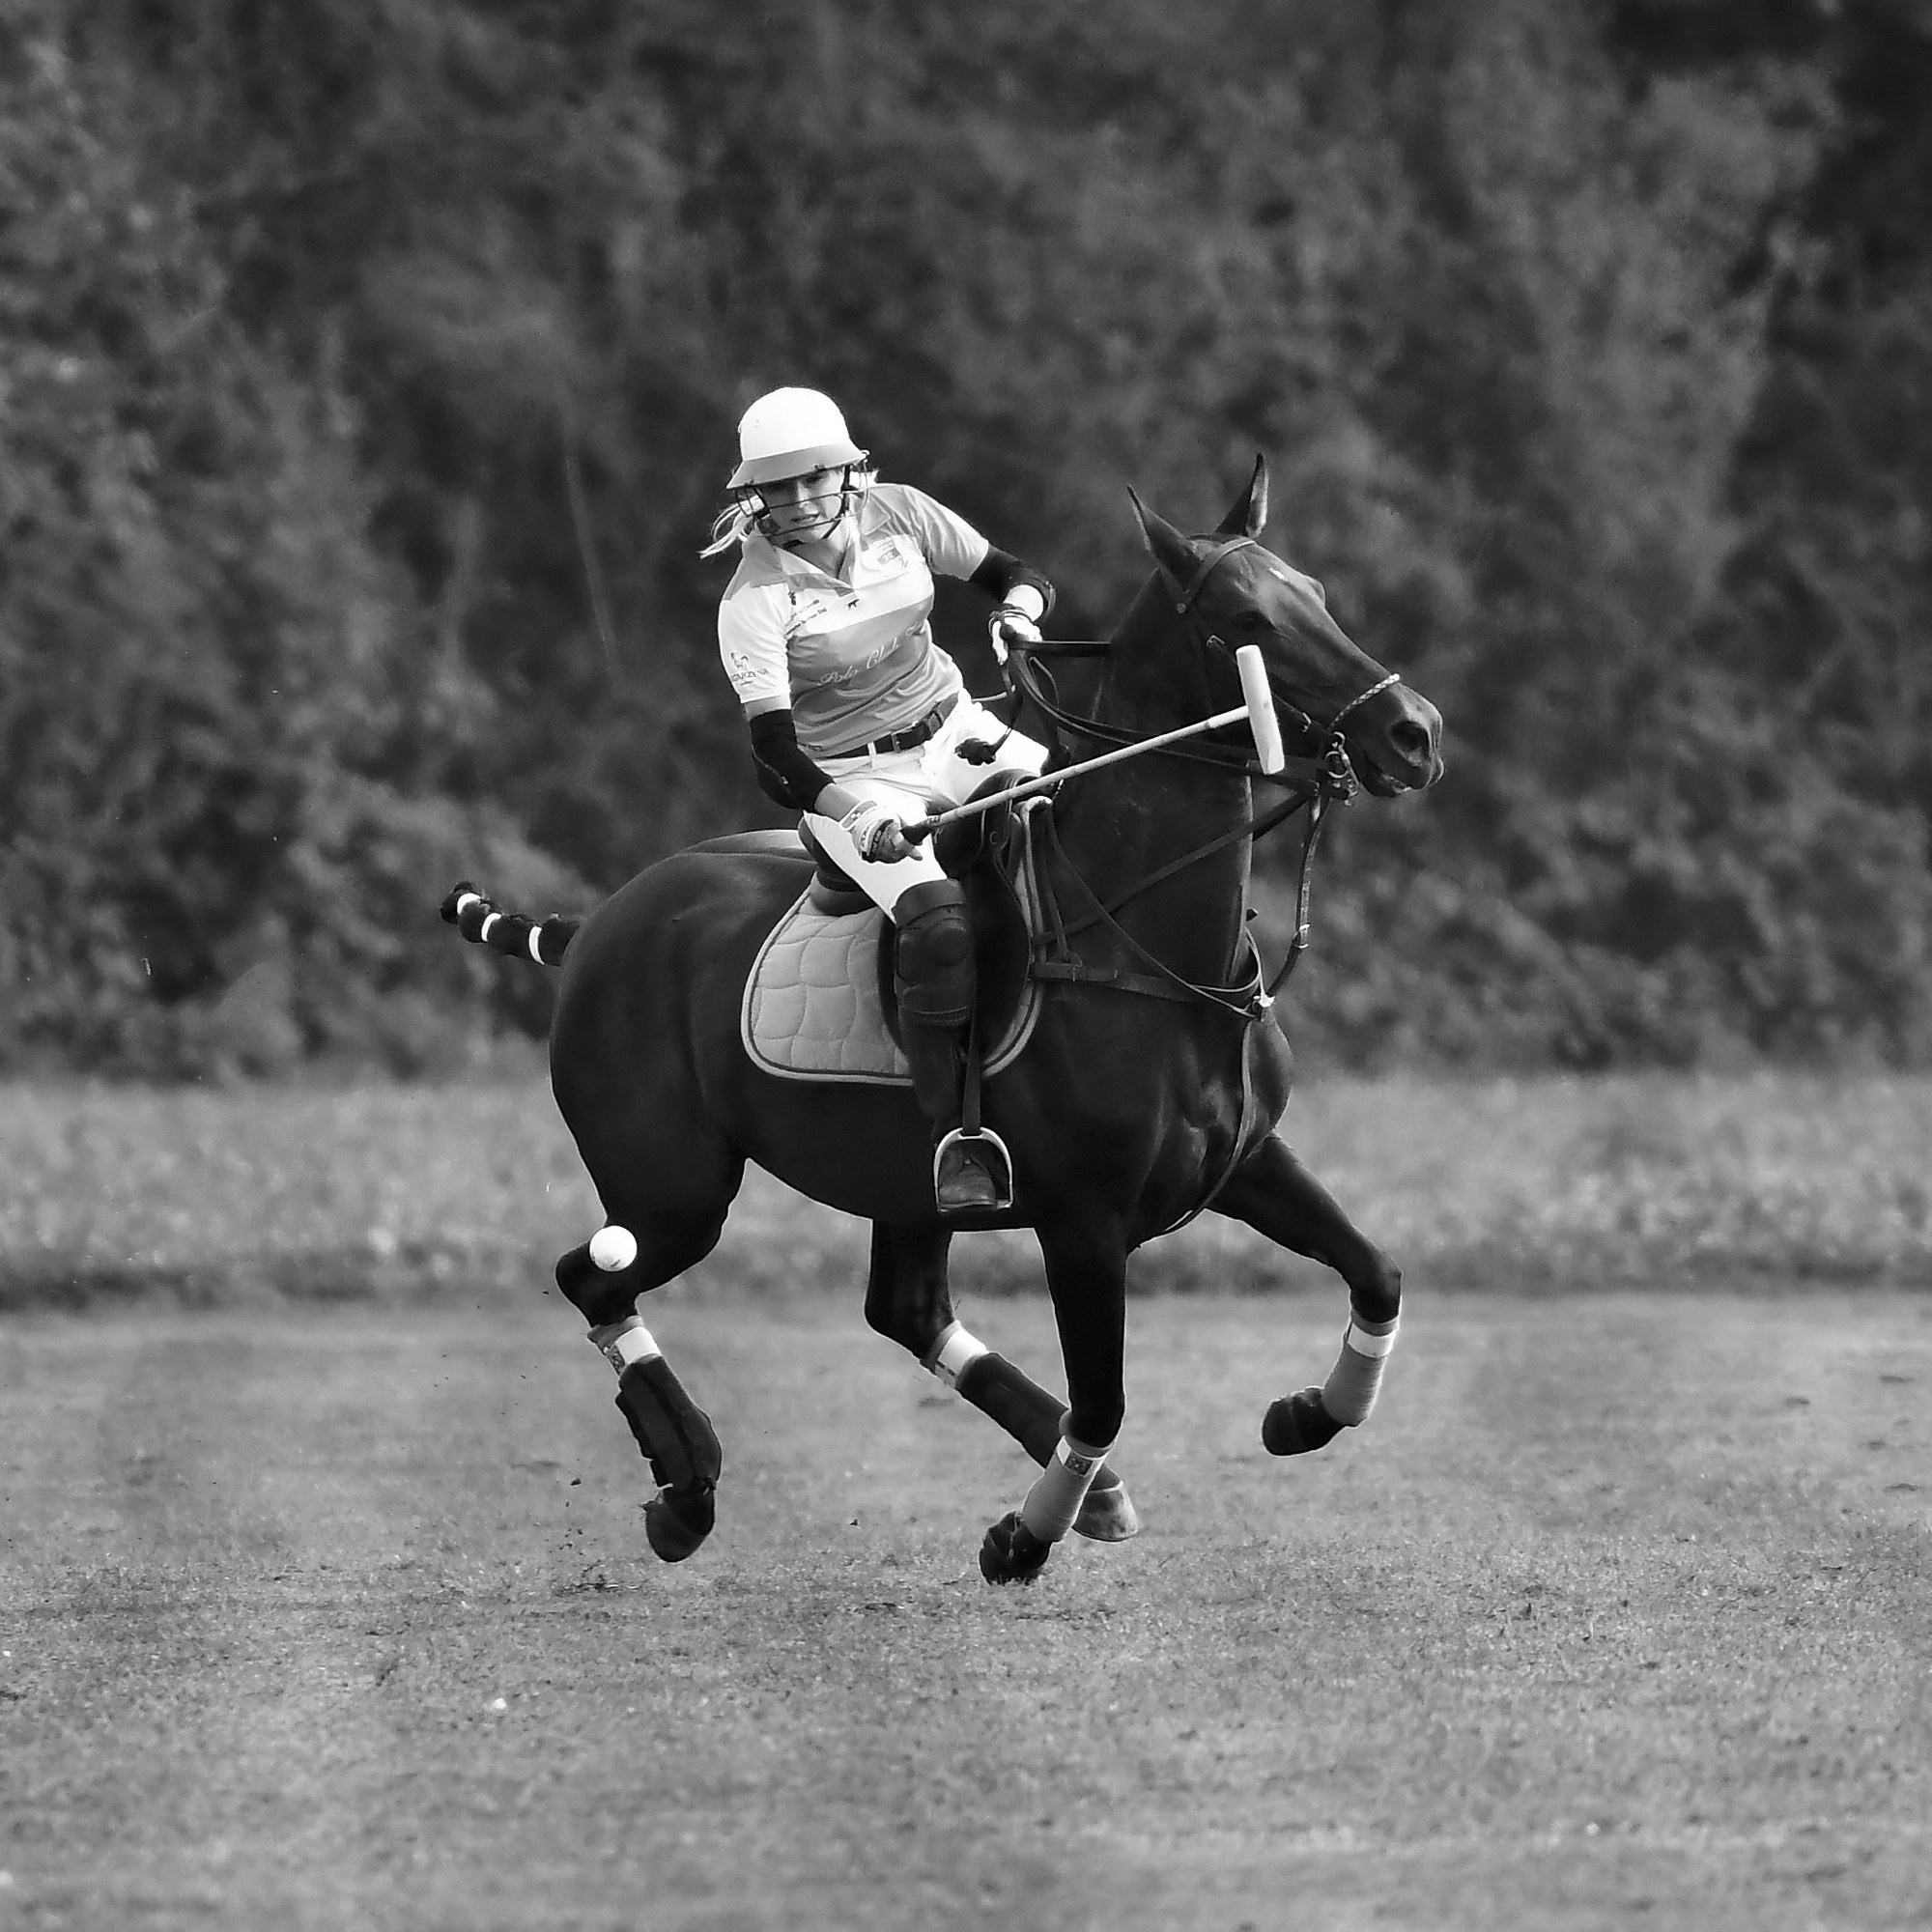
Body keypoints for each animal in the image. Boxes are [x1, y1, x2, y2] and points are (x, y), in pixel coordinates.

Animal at [445, 455, 1444, 1585]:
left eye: (1315, 592)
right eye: (1245, 619)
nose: (1412, 733)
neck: (1140, 946)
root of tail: (599, 922)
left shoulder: (1244, 1161)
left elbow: (1378, 1272)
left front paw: (1303, 1413)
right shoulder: (1083, 1218)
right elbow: (1106, 1396)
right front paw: (1021, 1534)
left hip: (889, 1177)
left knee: (903, 1307)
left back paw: (1088, 1488)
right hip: (671, 1187)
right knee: (592, 1274)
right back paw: (688, 1485)